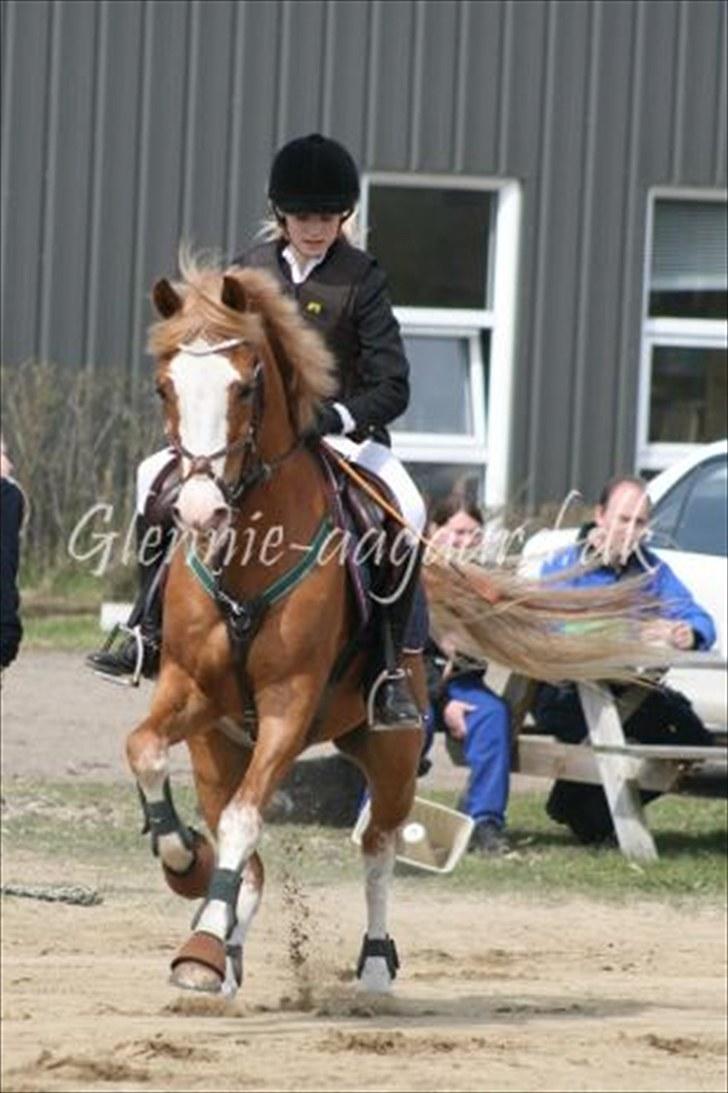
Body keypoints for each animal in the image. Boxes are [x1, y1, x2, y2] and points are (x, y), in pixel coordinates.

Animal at [124, 260, 419, 996]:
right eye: (165, 386)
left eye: (246, 386)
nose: (199, 511)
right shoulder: (189, 691)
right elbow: (145, 751)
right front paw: (186, 870)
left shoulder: (289, 702)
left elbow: (244, 820)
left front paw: (202, 941)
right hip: (216, 745)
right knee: (251, 857)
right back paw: (223, 944)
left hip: (393, 749)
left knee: (379, 844)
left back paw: (376, 964)